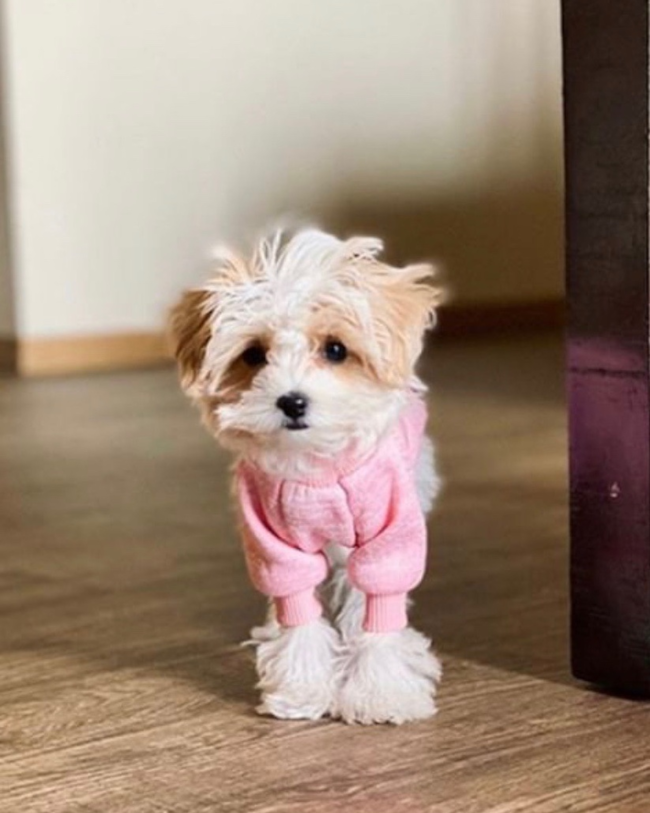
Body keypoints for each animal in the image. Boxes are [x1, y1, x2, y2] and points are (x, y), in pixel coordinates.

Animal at [167, 227, 442, 724]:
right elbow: (297, 608)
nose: (292, 401)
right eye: (254, 355)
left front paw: (382, 692)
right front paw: (301, 688)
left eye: (336, 349)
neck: (318, 470)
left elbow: (379, 603)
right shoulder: (273, 543)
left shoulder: (390, 533)